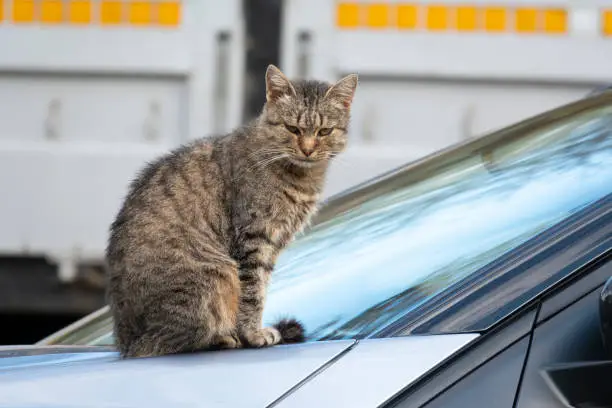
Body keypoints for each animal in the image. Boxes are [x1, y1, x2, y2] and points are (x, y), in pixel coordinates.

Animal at [106, 63, 358, 356]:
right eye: (292, 128)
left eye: (324, 132)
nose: (307, 150)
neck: (301, 176)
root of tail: (127, 343)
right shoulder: (253, 239)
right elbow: (253, 294)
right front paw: (253, 334)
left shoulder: (271, 245)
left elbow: (262, 288)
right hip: (217, 274)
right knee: (171, 341)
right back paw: (223, 337)